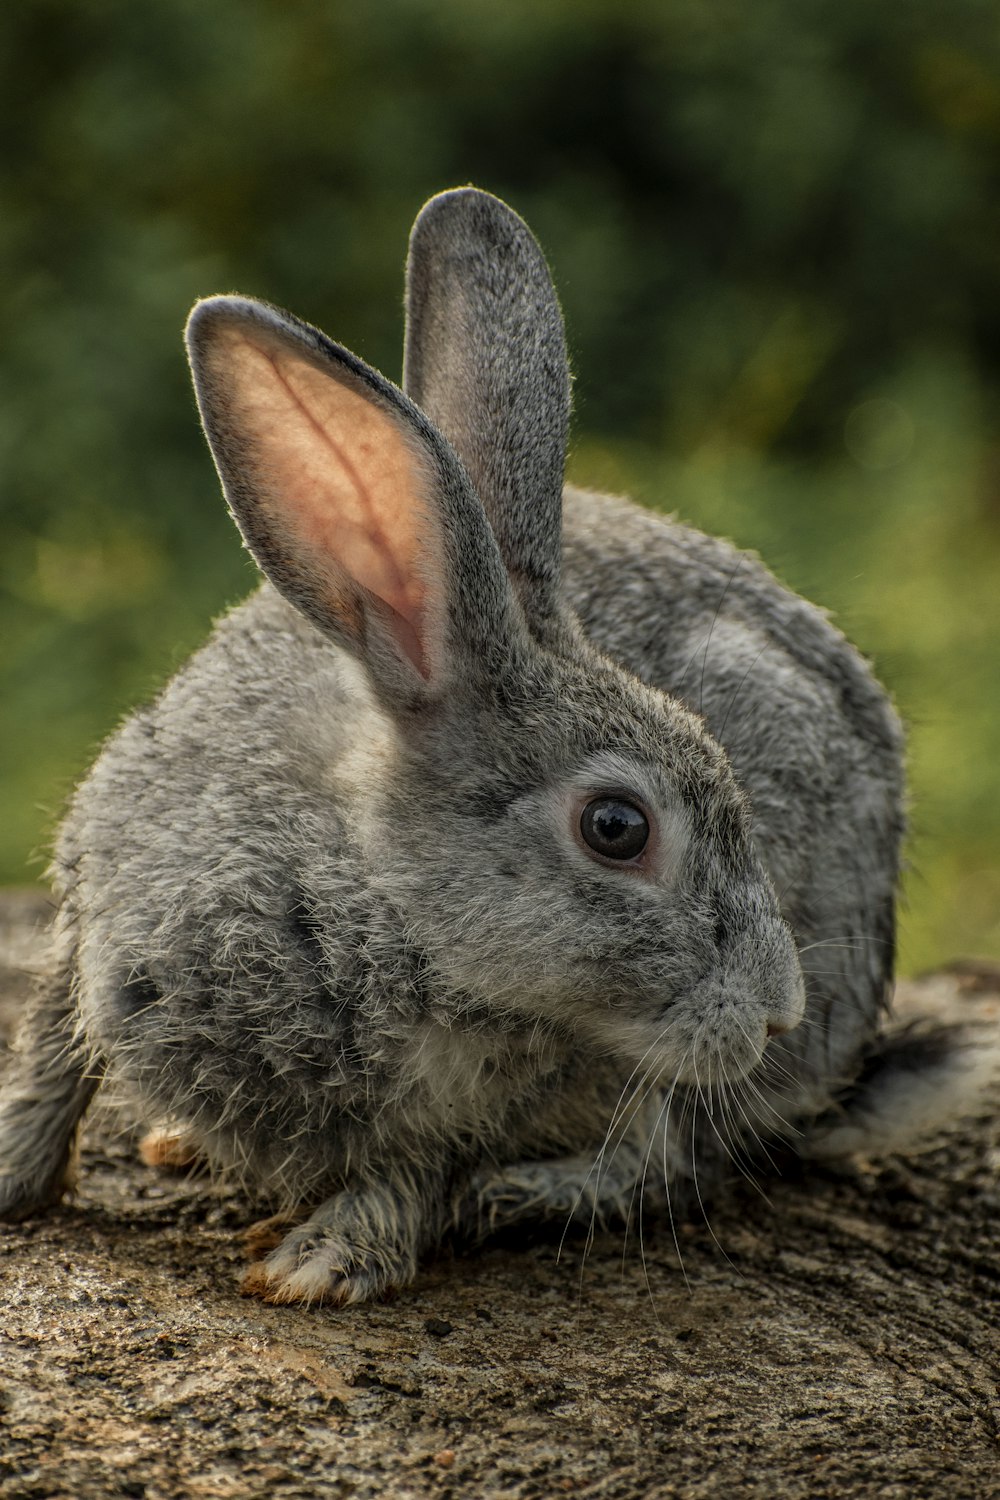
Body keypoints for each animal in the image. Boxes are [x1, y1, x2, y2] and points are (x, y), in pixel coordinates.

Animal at [0, 187, 995, 1308]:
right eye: (617, 827)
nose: (779, 1012)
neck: (368, 893)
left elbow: (418, 1171)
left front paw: (326, 1263)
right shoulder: (93, 905)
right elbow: (50, 1059)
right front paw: (7, 1178)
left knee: (677, 1154)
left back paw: (523, 1193)